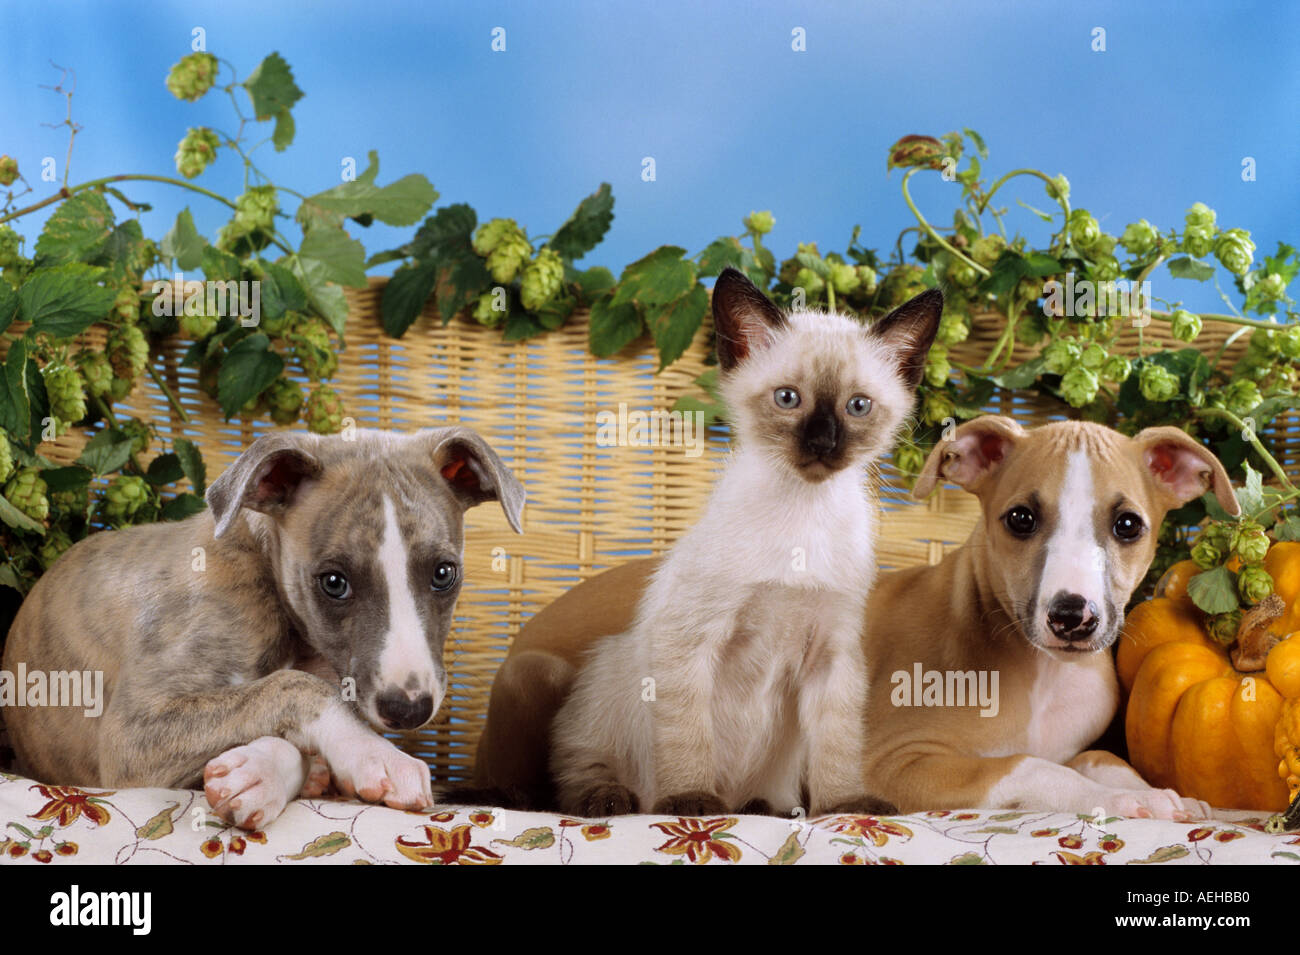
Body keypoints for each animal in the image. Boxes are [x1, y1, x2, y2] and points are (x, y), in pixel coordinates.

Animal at [6, 428, 522, 831]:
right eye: (333, 582)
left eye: (444, 573)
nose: (408, 709)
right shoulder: (133, 733)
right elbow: (293, 686)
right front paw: (376, 755)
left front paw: (258, 774)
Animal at [478, 415, 1237, 815]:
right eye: (1020, 518)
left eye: (1129, 524)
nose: (1072, 617)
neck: (1038, 669)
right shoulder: (890, 764)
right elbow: (1026, 768)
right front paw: (1130, 803)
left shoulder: (1075, 734)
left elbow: (1099, 754)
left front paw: (1159, 794)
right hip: (538, 679)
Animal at [551, 270, 946, 821]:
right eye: (788, 399)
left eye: (858, 406)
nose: (823, 444)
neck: (803, 509)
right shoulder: (690, 639)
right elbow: (688, 737)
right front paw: (691, 802)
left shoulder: (833, 654)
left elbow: (838, 744)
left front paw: (846, 804)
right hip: (607, 676)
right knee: (582, 770)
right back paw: (613, 800)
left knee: (762, 794)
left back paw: (763, 808)